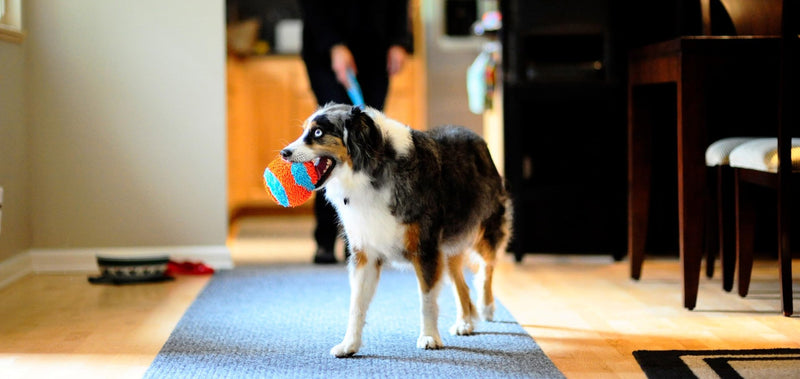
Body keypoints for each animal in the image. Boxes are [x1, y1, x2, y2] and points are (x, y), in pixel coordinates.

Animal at [282, 102, 512, 358]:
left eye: (318, 132)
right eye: (304, 130)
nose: (284, 153)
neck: (371, 172)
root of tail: (475, 137)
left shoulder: (426, 249)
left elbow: (427, 300)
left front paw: (429, 337)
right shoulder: (365, 253)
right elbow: (356, 304)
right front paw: (349, 344)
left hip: (484, 229)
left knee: (487, 266)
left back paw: (486, 306)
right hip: (449, 246)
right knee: (461, 284)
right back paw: (464, 322)